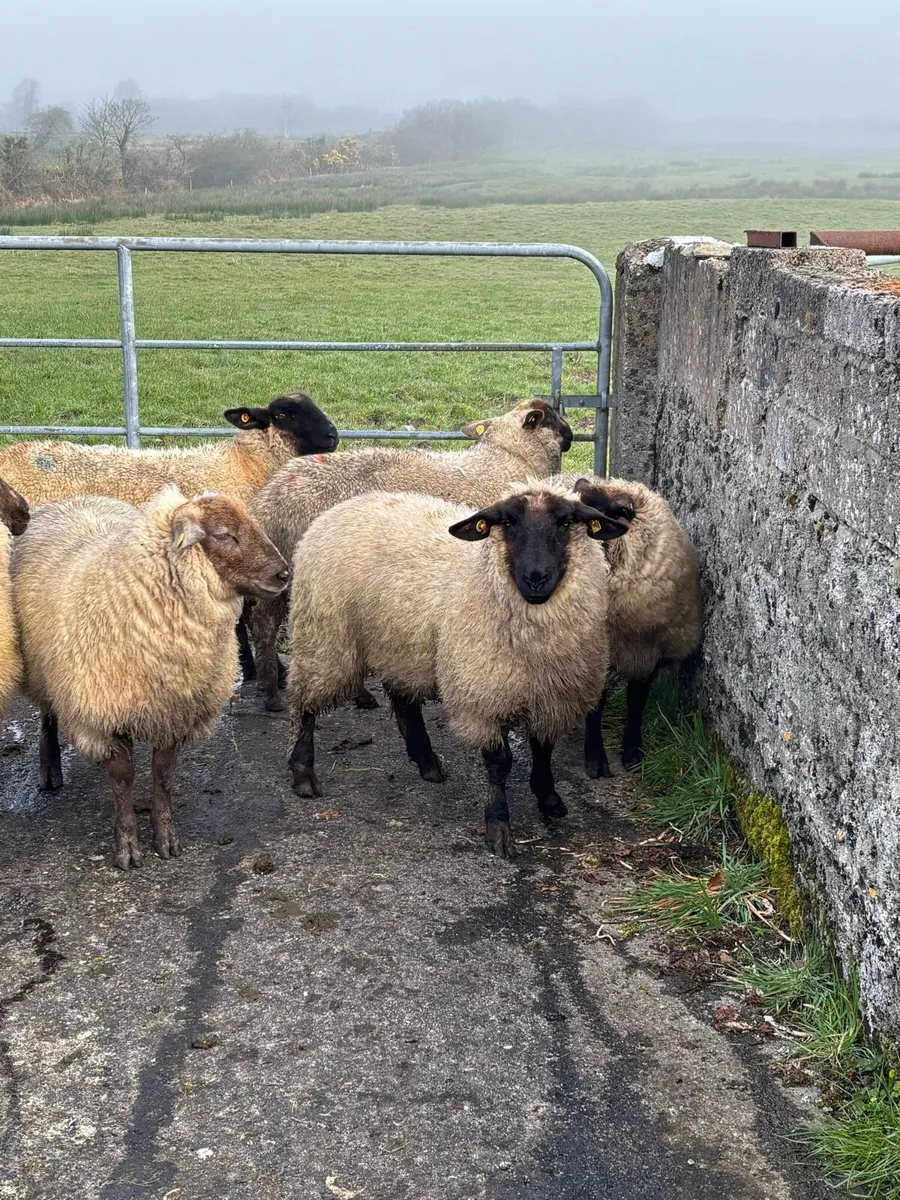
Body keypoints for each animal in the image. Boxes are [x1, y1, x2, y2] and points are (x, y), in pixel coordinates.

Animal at [10, 487, 289, 869]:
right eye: (224, 535)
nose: (284, 574)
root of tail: (73, 497)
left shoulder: (173, 711)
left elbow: (163, 774)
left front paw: (166, 838)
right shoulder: (104, 710)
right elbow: (123, 779)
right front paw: (127, 846)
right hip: (46, 671)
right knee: (48, 715)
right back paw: (50, 768)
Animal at [284, 482, 629, 858]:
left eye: (566, 522)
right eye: (507, 522)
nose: (535, 578)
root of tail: (346, 505)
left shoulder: (550, 693)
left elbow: (543, 748)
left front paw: (548, 798)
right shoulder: (483, 694)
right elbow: (499, 762)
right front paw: (498, 827)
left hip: (399, 642)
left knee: (403, 700)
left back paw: (427, 763)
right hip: (323, 636)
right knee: (305, 705)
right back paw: (303, 774)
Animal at [560, 475, 702, 777]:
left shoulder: (649, 650)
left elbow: (637, 700)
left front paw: (632, 752)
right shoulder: (598, 651)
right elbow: (598, 701)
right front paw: (595, 758)